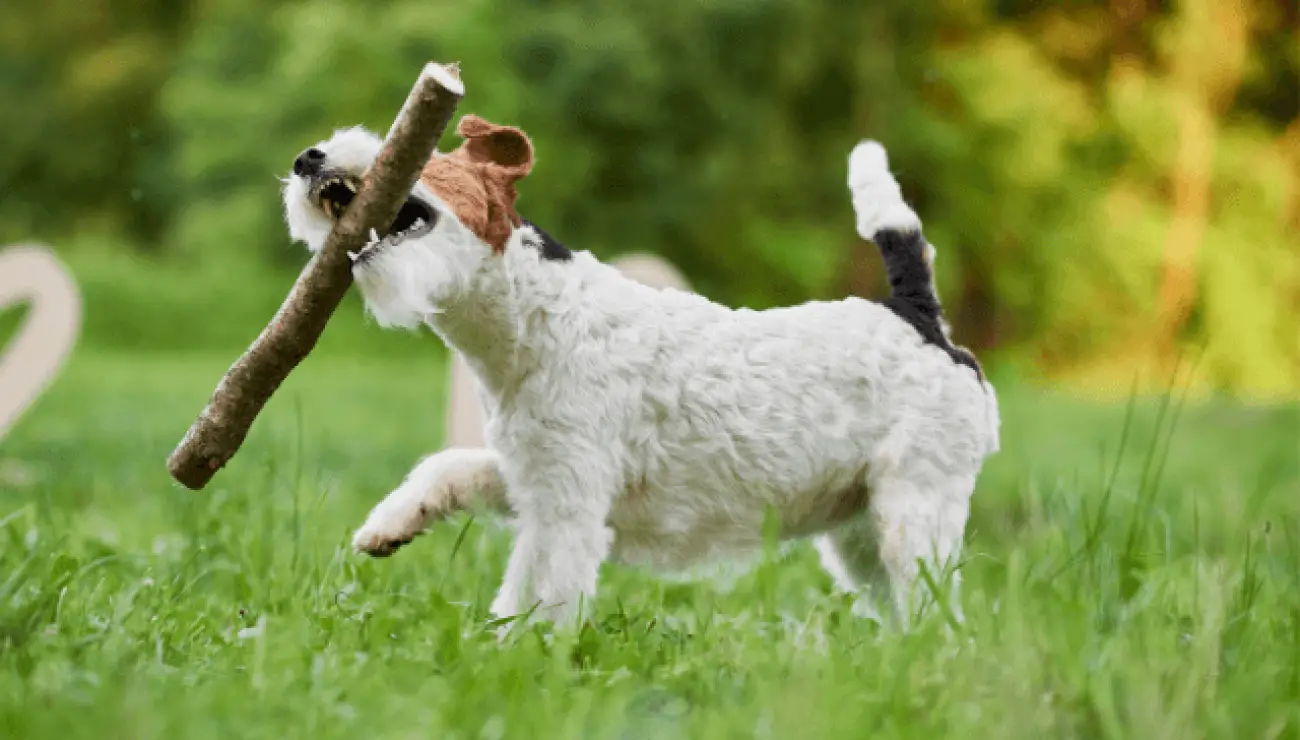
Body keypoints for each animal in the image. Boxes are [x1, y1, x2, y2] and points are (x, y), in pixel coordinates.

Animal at [282, 115, 993, 629]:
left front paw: (519, 661)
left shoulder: (569, 503)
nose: (308, 158)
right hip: (859, 531)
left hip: (916, 510)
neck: (535, 318)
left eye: (418, 154)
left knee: (943, 620)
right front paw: (388, 527)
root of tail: (919, 316)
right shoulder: (536, 474)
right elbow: (449, 468)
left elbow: (540, 595)